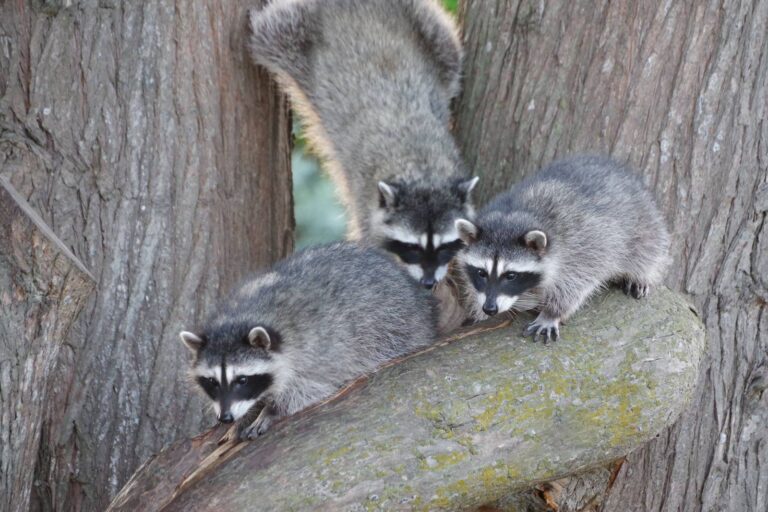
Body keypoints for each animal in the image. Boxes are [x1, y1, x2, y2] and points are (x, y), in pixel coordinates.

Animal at [180, 242, 437, 439]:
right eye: (212, 382)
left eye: (242, 380)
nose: (225, 418)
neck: (240, 318)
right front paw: (250, 412)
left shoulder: (320, 350)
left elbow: (309, 387)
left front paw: (271, 411)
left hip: (394, 323)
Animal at [247, 0, 478, 288]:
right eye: (411, 247)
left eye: (446, 246)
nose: (428, 283)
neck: (421, 168)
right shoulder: (365, 200)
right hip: (294, 33)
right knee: (267, 31)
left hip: (427, 28)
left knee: (451, 55)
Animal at [454, 155, 670, 342]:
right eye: (481, 273)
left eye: (511, 276)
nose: (490, 308)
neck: (514, 214)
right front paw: (478, 309)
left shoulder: (583, 245)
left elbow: (576, 283)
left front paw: (552, 313)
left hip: (643, 223)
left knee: (648, 249)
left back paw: (641, 274)